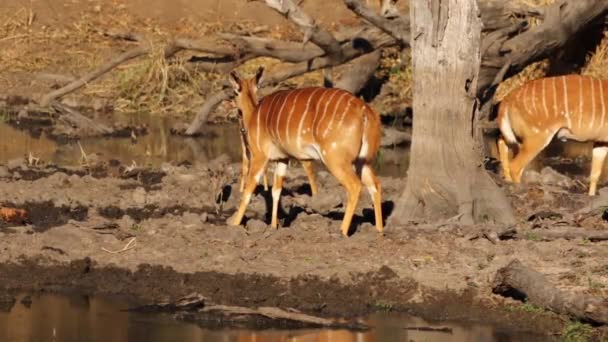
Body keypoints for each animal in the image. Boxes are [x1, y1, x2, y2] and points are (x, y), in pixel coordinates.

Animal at [226, 68, 382, 236]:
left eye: (234, 92)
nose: (231, 106)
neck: (253, 116)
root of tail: (365, 111)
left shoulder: (259, 155)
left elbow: (248, 191)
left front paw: (235, 225)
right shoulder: (283, 158)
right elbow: (276, 191)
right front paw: (274, 227)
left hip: (335, 158)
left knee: (355, 186)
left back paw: (342, 232)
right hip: (362, 160)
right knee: (375, 185)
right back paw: (379, 231)